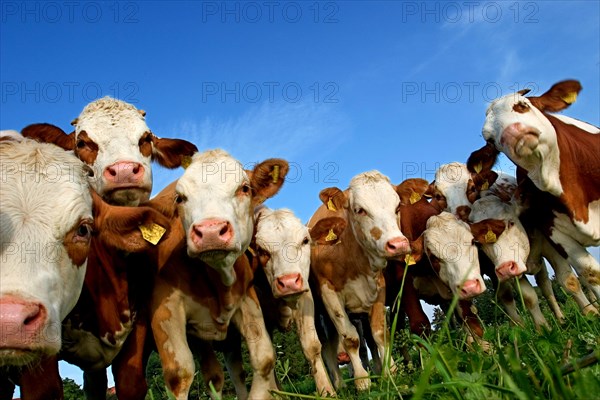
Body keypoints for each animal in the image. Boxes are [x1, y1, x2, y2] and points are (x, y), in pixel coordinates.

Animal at [149, 150, 290, 400]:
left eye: (244, 188)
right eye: (180, 198)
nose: (210, 231)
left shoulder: (246, 298)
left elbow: (263, 357)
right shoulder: (165, 307)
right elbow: (180, 374)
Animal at [308, 170, 410, 390]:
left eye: (397, 207)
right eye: (359, 210)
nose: (397, 244)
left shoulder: (379, 288)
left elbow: (379, 333)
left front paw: (390, 372)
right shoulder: (329, 294)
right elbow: (351, 338)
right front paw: (362, 380)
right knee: (327, 347)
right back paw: (338, 386)